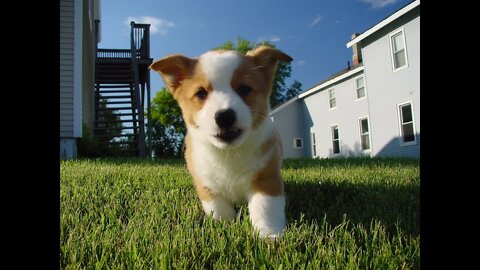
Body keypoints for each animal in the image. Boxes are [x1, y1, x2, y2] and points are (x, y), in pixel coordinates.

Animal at [150, 46, 292, 238]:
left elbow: (265, 209)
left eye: (244, 89)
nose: (225, 116)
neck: (228, 153)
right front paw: (225, 228)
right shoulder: (206, 183)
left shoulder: (267, 177)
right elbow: (219, 209)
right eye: (201, 93)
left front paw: (270, 236)